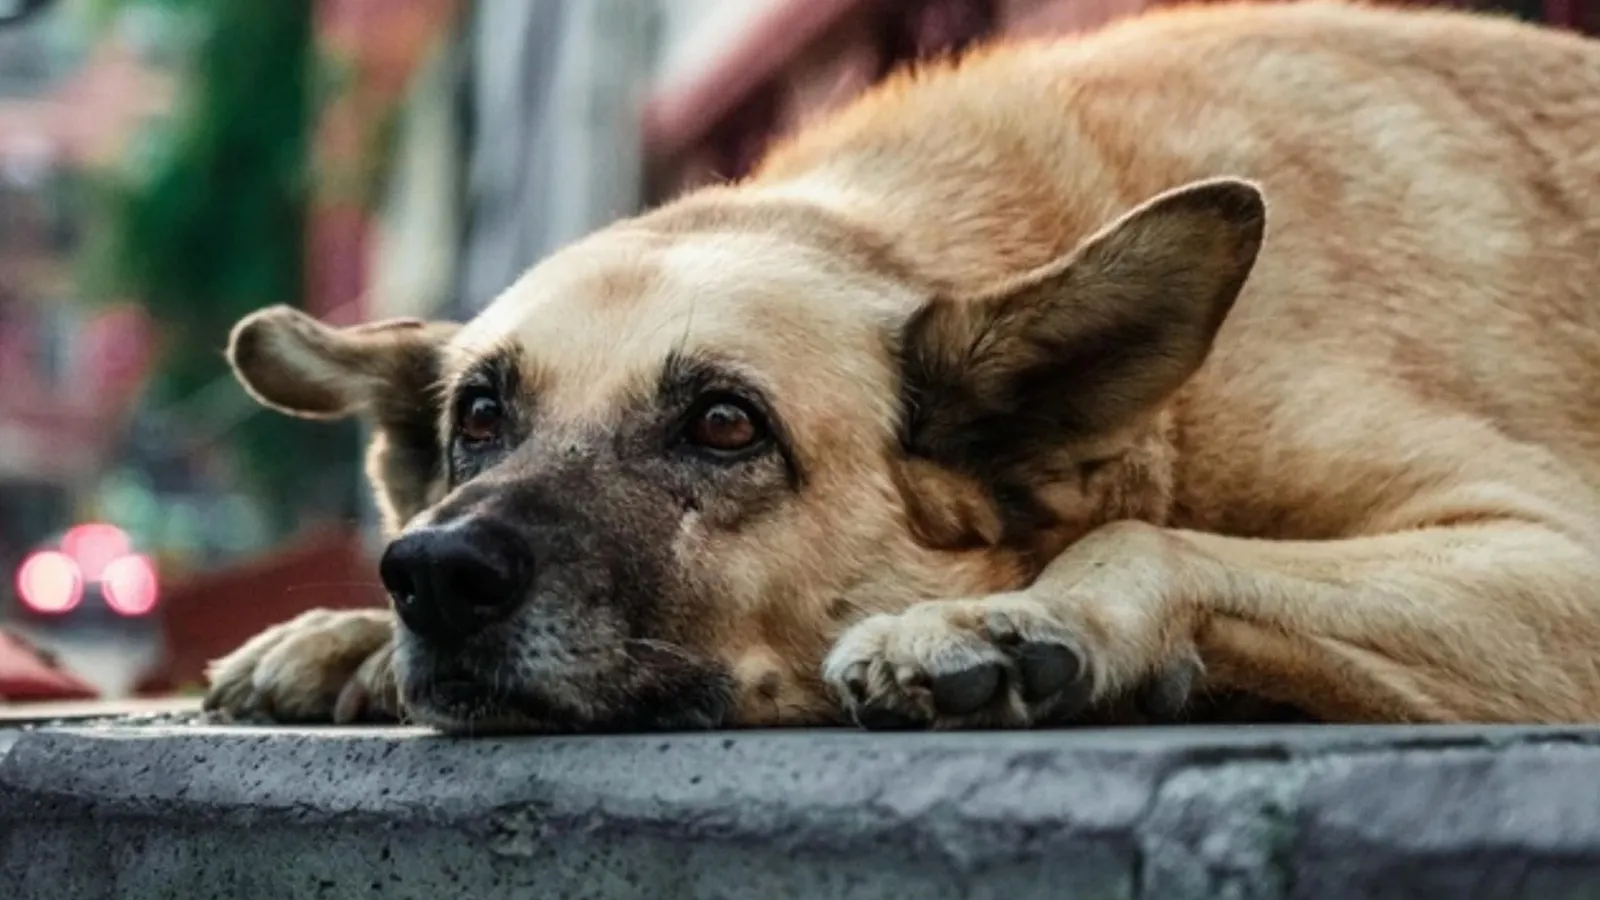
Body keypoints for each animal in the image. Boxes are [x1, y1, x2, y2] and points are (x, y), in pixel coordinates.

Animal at [200, 0, 1600, 730]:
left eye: (725, 425)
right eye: (480, 417)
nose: (432, 575)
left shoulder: (1556, 556)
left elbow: (1148, 539)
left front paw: (1015, 615)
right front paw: (347, 638)